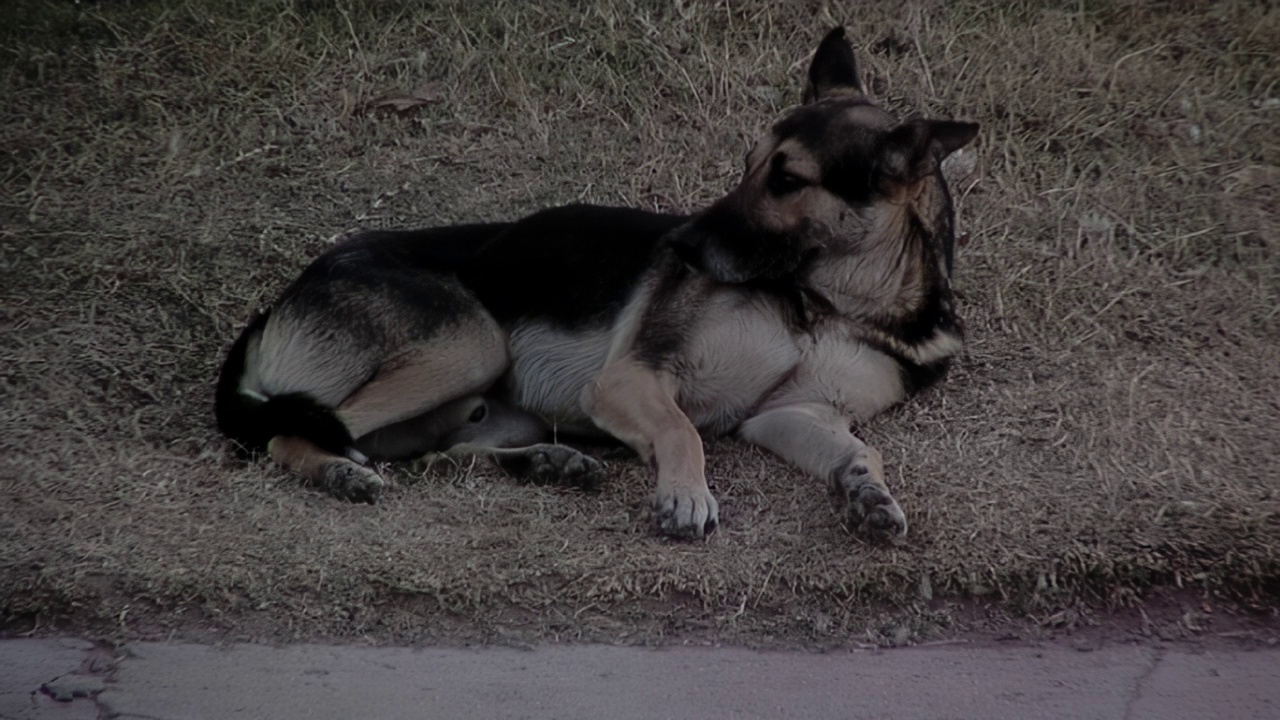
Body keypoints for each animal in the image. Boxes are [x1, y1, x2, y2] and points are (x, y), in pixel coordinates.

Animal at [217, 30, 977, 540]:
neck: (836, 301)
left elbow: (861, 448)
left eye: (789, 181)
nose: (682, 248)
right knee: (295, 433)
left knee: (433, 453)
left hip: (485, 400)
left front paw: (866, 489)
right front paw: (685, 493)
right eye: (750, 165)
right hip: (470, 345)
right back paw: (342, 473)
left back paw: (543, 462)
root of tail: (276, 303)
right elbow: (681, 429)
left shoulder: (795, 413)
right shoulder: (630, 378)